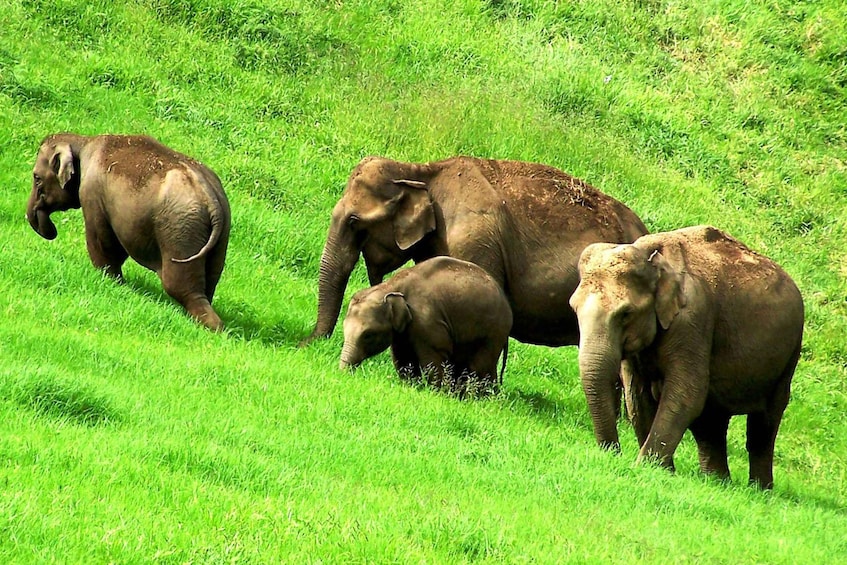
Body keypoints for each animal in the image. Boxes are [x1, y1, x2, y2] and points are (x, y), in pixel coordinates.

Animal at [26, 133, 232, 330]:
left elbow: (103, 243)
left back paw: (212, 328)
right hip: (218, 236)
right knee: (209, 283)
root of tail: (211, 198)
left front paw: (110, 280)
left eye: (36, 177)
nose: (51, 231)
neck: (84, 142)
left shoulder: (92, 195)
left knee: (181, 287)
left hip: (180, 232)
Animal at [338, 256, 510, 392]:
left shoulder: (427, 321)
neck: (391, 286)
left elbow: (432, 361)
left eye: (368, 335)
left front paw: (435, 393)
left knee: (480, 369)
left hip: (494, 332)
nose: (345, 376)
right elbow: (403, 359)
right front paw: (412, 387)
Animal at [568, 226, 800, 490]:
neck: (651, 256)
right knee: (711, 424)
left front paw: (646, 468)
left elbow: (686, 393)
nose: (613, 452)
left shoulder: (693, 319)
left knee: (763, 426)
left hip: (789, 358)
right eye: (573, 308)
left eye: (626, 313)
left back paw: (758, 490)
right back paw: (717, 482)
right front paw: (663, 471)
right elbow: (637, 395)